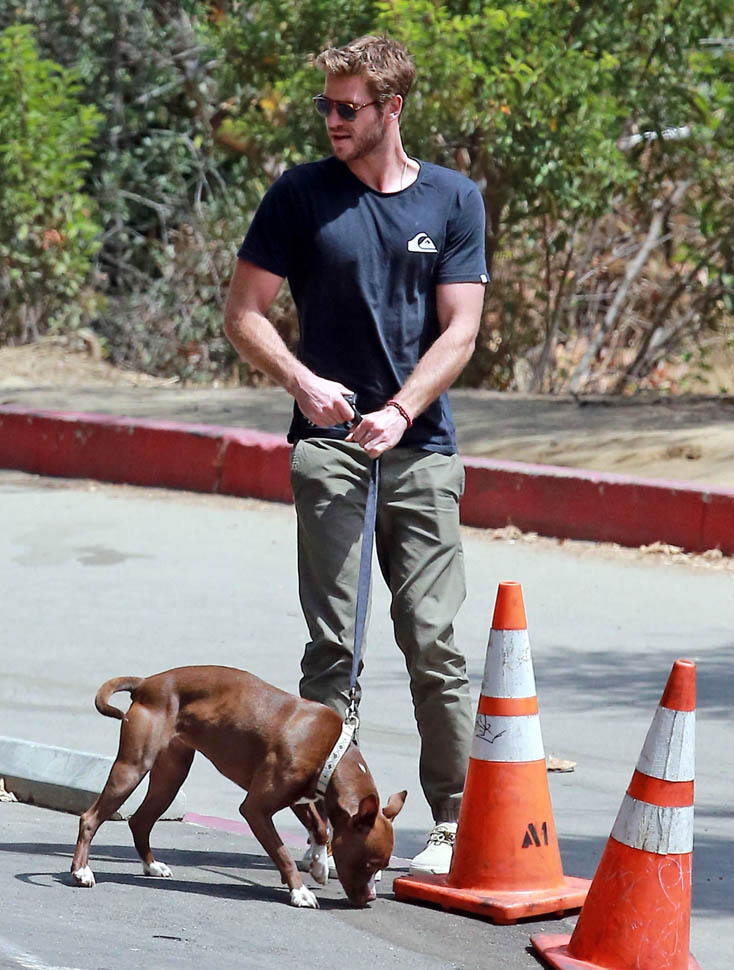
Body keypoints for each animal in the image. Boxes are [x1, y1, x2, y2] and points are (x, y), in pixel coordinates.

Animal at [71, 665, 406, 908]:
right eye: (368, 864)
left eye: (383, 867)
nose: (370, 899)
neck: (332, 753)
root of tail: (146, 684)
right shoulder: (256, 809)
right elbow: (282, 852)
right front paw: (299, 890)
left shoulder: (300, 797)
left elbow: (321, 828)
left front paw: (319, 865)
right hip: (132, 769)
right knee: (91, 817)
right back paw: (81, 871)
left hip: (170, 777)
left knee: (140, 821)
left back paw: (151, 866)